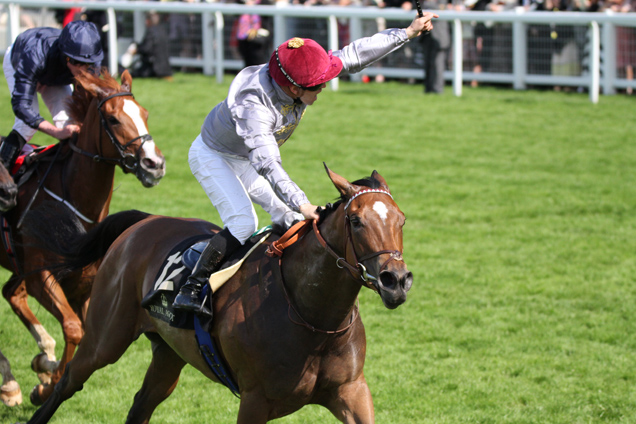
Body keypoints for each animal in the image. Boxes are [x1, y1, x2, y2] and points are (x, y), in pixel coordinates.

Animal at [0, 68, 166, 404]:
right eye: (113, 119)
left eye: (144, 113)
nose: (154, 165)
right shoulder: (42, 276)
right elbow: (73, 327)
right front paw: (48, 383)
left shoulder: (83, 287)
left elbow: (83, 332)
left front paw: (46, 372)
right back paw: (11, 383)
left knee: (12, 293)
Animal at [22, 166, 412, 424]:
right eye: (356, 221)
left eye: (402, 219)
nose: (396, 280)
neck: (312, 319)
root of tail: (144, 222)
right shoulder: (255, 400)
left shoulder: (351, 390)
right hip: (106, 338)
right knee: (68, 382)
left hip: (169, 354)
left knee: (141, 405)